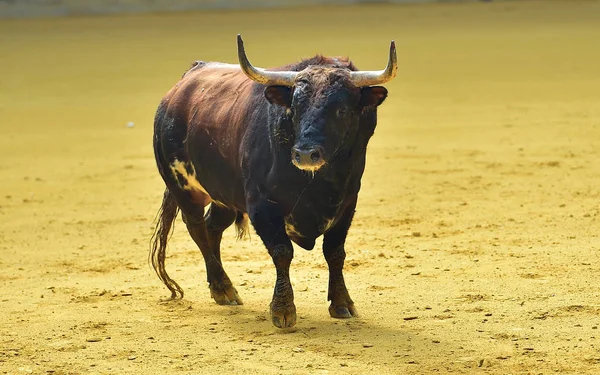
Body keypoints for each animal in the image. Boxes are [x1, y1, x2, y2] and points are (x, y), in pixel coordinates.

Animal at [150, 35, 396, 328]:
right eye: (295, 108)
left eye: (342, 109)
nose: (305, 153)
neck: (318, 185)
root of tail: (181, 86)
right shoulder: (262, 205)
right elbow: (282, 252)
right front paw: (283, 309)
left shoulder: (347, 204)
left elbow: (335, 252)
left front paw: (342, 304)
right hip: (183, 188)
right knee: (197, 228)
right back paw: (222, 288)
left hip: (224, 194)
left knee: (213, 227)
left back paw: (223, 288)